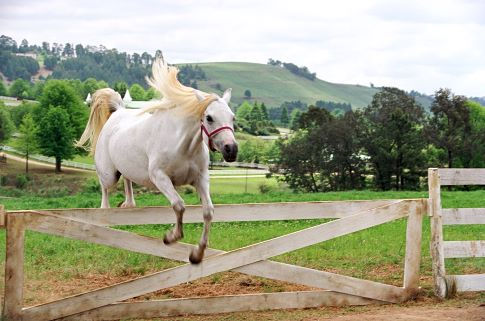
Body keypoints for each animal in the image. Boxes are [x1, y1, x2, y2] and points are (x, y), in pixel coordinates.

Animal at [75, 59, 238, 262]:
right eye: (209, 118)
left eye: (232, 118)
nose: (231, 149)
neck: (184, 146)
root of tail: (118, 112)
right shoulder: (160, 177)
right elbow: (179, 205)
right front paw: (171, 237)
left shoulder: (200, 179)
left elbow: (208, 211)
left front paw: (197, 253)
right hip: (109, 175)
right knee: (105, 188)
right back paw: (106, 211)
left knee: (127, 180)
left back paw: (129, 204)